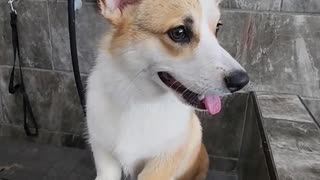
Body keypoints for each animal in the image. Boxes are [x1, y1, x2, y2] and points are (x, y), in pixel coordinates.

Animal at [85, 0, 250, 179]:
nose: (242, 81)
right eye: (179, 32)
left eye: (217, 27)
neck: (139, 100)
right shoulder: (103, 155)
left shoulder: (161, 164)